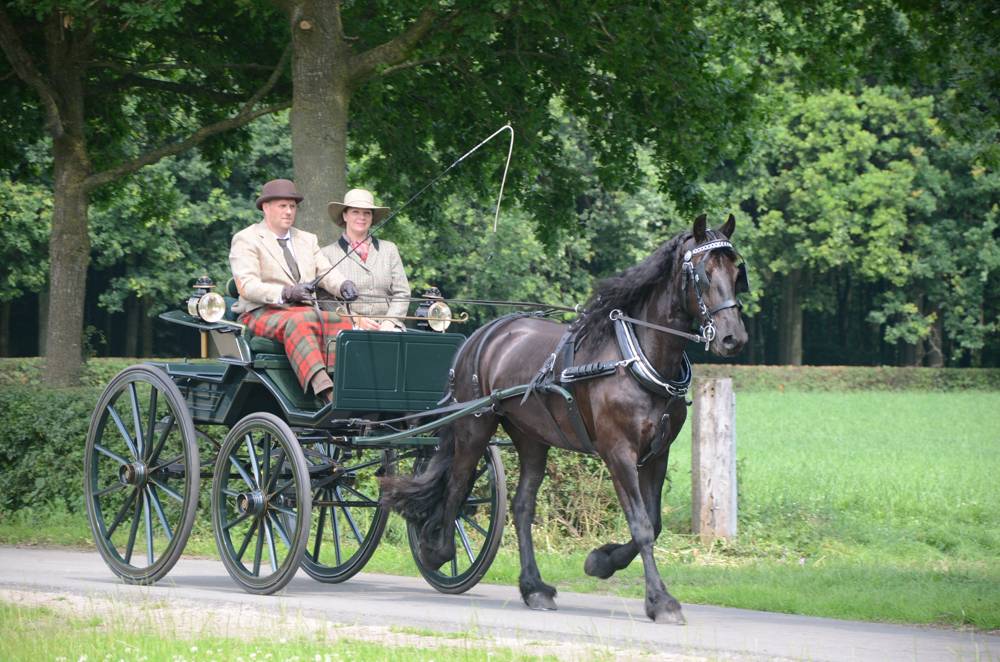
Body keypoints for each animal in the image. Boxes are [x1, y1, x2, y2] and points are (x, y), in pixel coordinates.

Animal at [378, 215, 748, 624]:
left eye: (737, 271)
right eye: (703, 273)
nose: (733, 338)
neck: (636, 357)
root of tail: (483, 334)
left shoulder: (657, 453)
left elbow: (653, 522)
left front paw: (602, 561)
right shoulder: (618, 453)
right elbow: (641, 525)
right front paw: (659, 601)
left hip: (531, 439)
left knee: (521, 506)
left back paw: (533, 587)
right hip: (474, 424)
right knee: (458, 484)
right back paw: (438, 549)